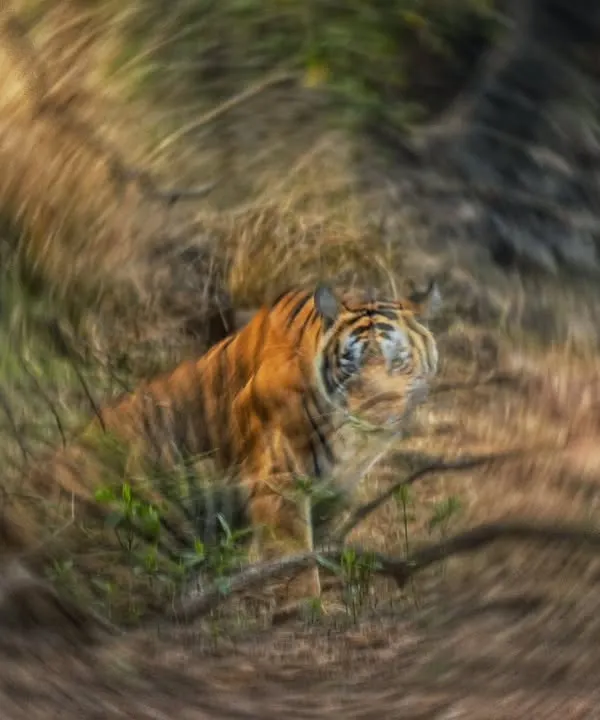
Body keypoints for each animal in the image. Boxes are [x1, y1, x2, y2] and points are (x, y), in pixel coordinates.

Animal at [10, 279, 440, 623]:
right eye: (351, 367)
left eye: (399, 362)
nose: (378, 409)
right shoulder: (280, 479)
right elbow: (294, 552)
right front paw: (306, 607)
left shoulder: (337, 484)